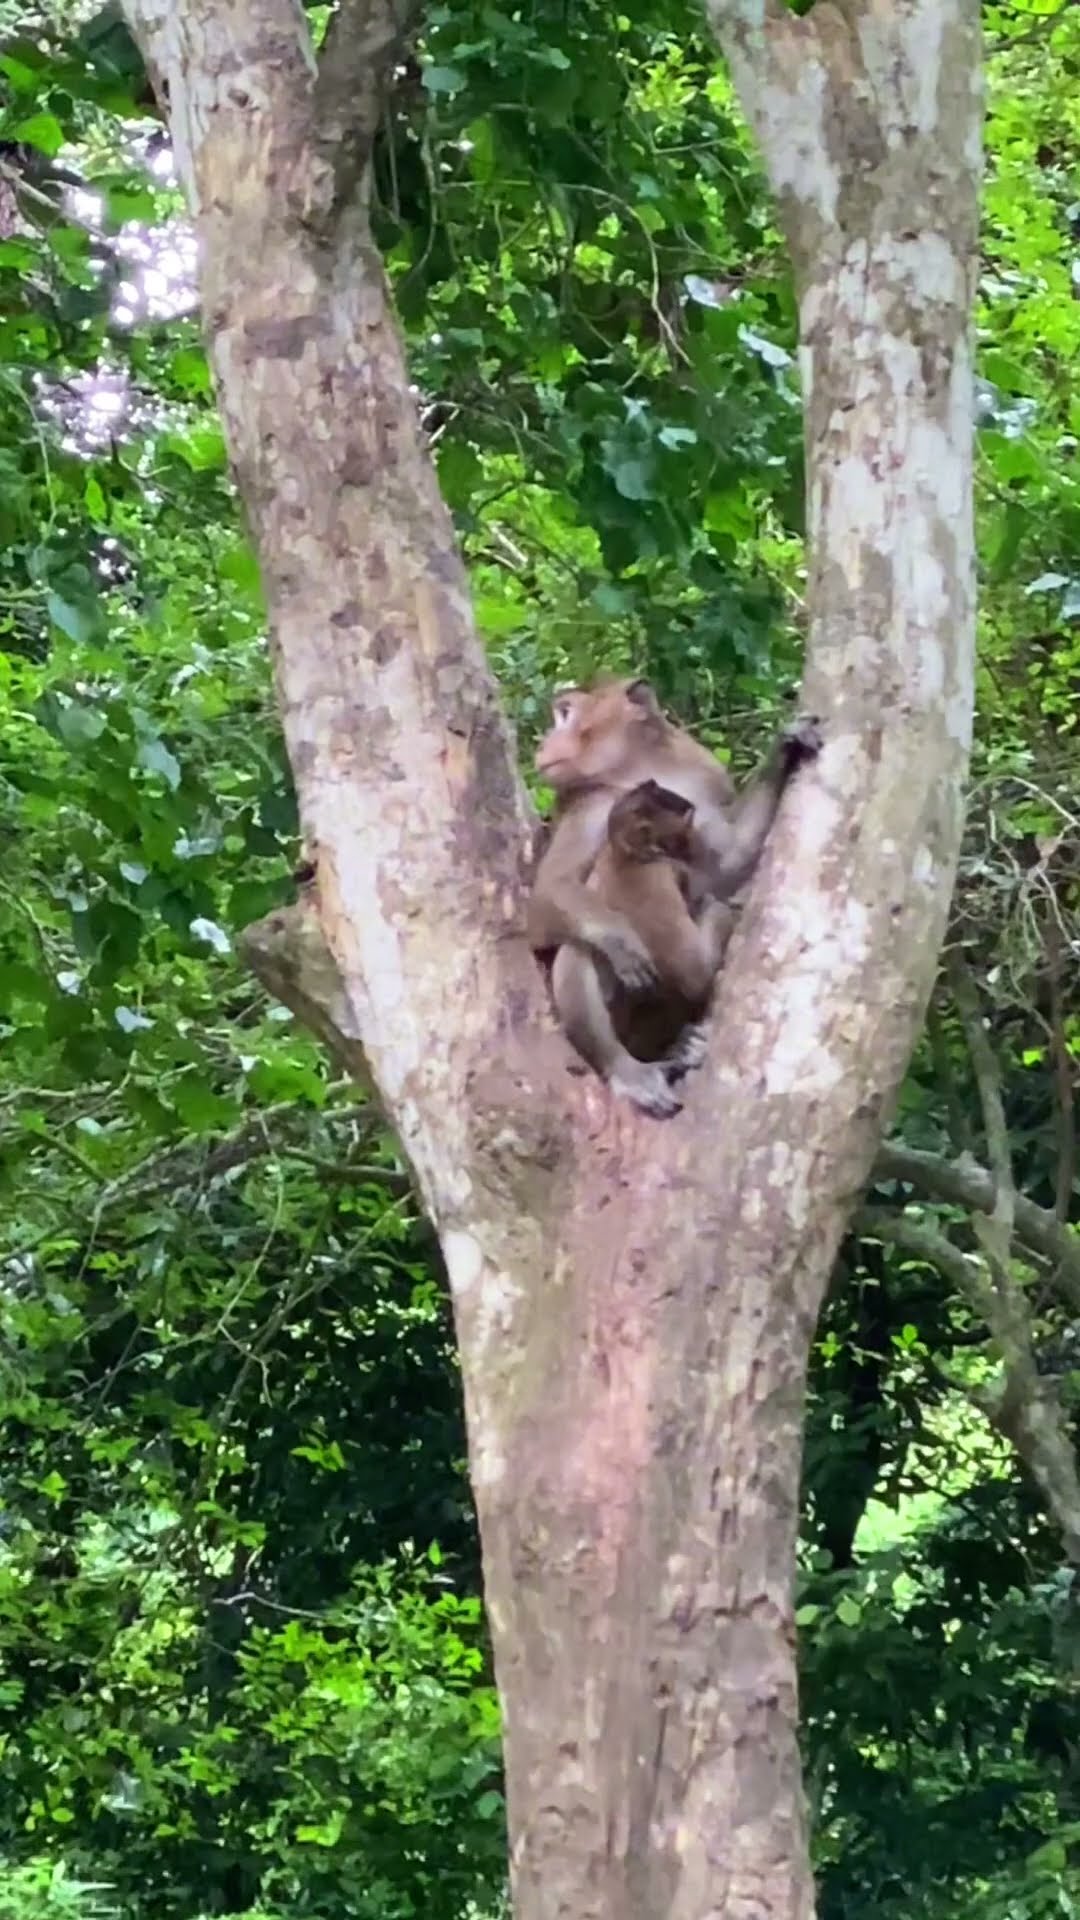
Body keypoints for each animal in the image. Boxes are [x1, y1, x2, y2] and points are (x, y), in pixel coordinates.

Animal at [552, 780, 738, 1117]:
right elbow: (695, 975)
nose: (693, 845)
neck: (629, 857)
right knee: (577, 954)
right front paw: (718, 906)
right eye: (684, 827)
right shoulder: (663, 874)